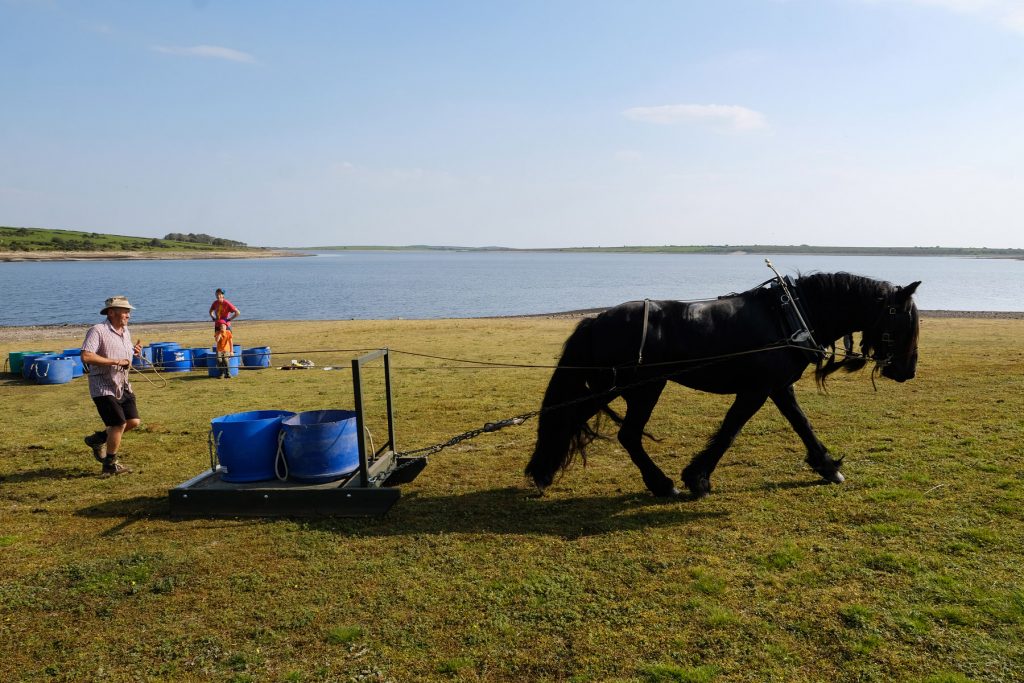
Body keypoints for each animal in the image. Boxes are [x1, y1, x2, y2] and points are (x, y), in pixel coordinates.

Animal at [528, 274, 921, 501]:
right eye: (903, 319)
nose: (908, 370)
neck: (788, 314)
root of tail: (596, 320)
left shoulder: (777, 387)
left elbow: (802, 424)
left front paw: (826, 465)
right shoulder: (757, 389)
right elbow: (730, 431)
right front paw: (697, 478)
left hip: (619, 387)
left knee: (575, 420)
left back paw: (544, 471)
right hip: (640, 388)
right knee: (619, 432)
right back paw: (660, 483)